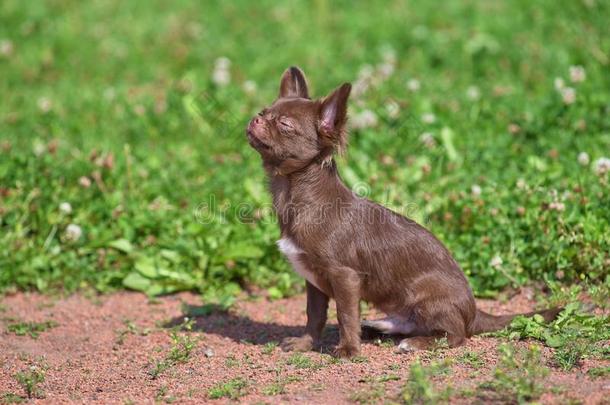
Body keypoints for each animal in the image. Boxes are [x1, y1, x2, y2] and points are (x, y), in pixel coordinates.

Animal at [245, 66, 560, 356]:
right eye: (263, 111)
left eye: (284, 124)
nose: (256, 118)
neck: (293, 191)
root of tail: (474, 311)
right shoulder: (315, 282)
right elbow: (314, 316)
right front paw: (305, 343)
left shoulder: (344, 276)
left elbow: (345, 315)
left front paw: (348, 350)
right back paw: (379, 327)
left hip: (426, 296)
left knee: (456, 335)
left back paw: (416, 342)